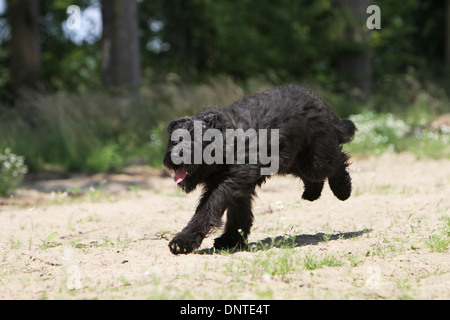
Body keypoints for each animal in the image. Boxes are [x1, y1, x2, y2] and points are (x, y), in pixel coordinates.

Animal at [163, 84, 356, 254]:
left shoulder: (227, 184)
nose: (175, 155)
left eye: (196, 140)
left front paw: (183, 241)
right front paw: (231, 240)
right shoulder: (237, 186)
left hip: (315, 160)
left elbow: (206, 211)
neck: (227, 141)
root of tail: (320, 103)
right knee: (312, 175)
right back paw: (312, 193)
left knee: (338, 161)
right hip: (293, 161)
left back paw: (342, 189)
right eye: (175, 139)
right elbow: (239, 215)